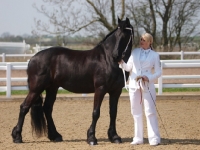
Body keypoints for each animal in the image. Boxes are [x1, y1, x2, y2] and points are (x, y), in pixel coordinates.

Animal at [10, 17, 134, 145]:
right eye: (117, 34)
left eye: (125, 35)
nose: (116, 55)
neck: (107, 59)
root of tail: (32, 59)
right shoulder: (100, 89)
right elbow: (96, 112)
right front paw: (91, 138)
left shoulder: (116, 91)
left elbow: (113, 113)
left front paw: (114, 137)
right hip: (36, 88)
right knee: (24, 107)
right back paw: (17, 136)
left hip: (52, 88)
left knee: (47, 108)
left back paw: (55, 136)